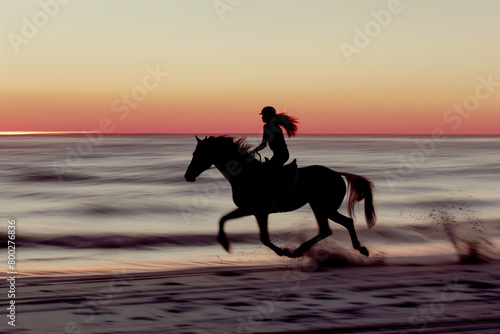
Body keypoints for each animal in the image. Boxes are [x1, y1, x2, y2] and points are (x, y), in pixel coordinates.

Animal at [185, 136, 376, 258]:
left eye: (197, 154)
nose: (187, 176)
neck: (245, 174)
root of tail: (337, 174)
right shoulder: (249, 210)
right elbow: (223, 219)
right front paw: (224, 243)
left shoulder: (258, 211)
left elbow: (263, 238)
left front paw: (282, 251)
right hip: (321, 207)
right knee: (336, 226)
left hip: (323, 207)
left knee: (335, 226)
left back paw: (298, 251)